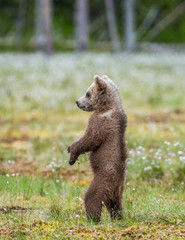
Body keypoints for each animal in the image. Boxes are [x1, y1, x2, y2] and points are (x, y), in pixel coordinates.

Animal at [67, 75, 127, 223]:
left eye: (88, 93)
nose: (77, 101)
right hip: (118, 189)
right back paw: (118, 218)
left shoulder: (101, 123)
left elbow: (90, 139)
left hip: (103, 178)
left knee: (92, 196)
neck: (106, 108)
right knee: (116, 204)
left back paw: (92, 218)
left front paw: (72, 151)